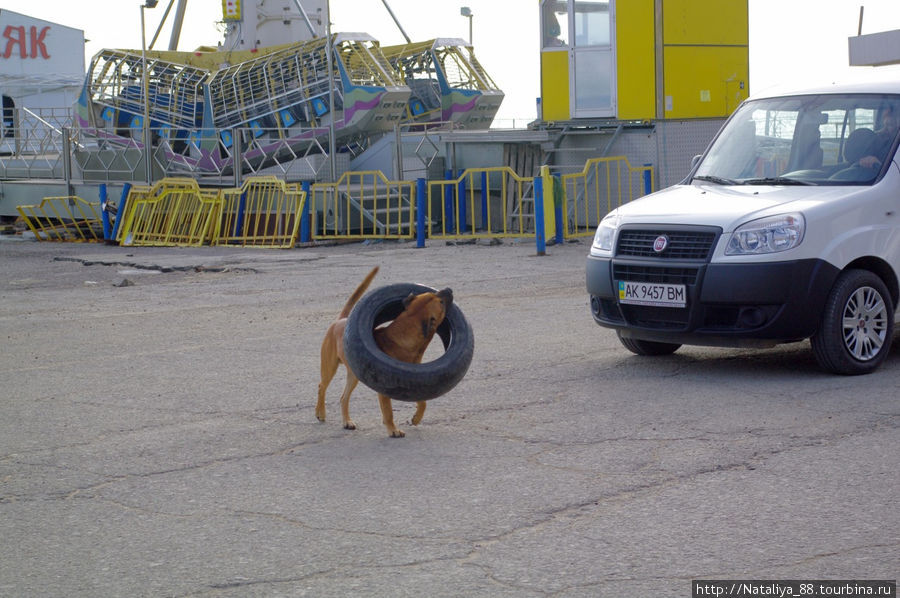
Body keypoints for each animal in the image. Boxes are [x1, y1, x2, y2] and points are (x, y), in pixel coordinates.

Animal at [320, 270, 454, 438]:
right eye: (441, 303)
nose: (449, 289)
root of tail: (340, 320)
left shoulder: (416, 384)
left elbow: (423, 402)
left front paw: (416, 418)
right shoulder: (385, 389)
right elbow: (388, 411)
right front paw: (393, 430)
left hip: (354, 376)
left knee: (343, 398)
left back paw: (347, 421)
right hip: (329, 367)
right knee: (321, 387)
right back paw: (320, 413)